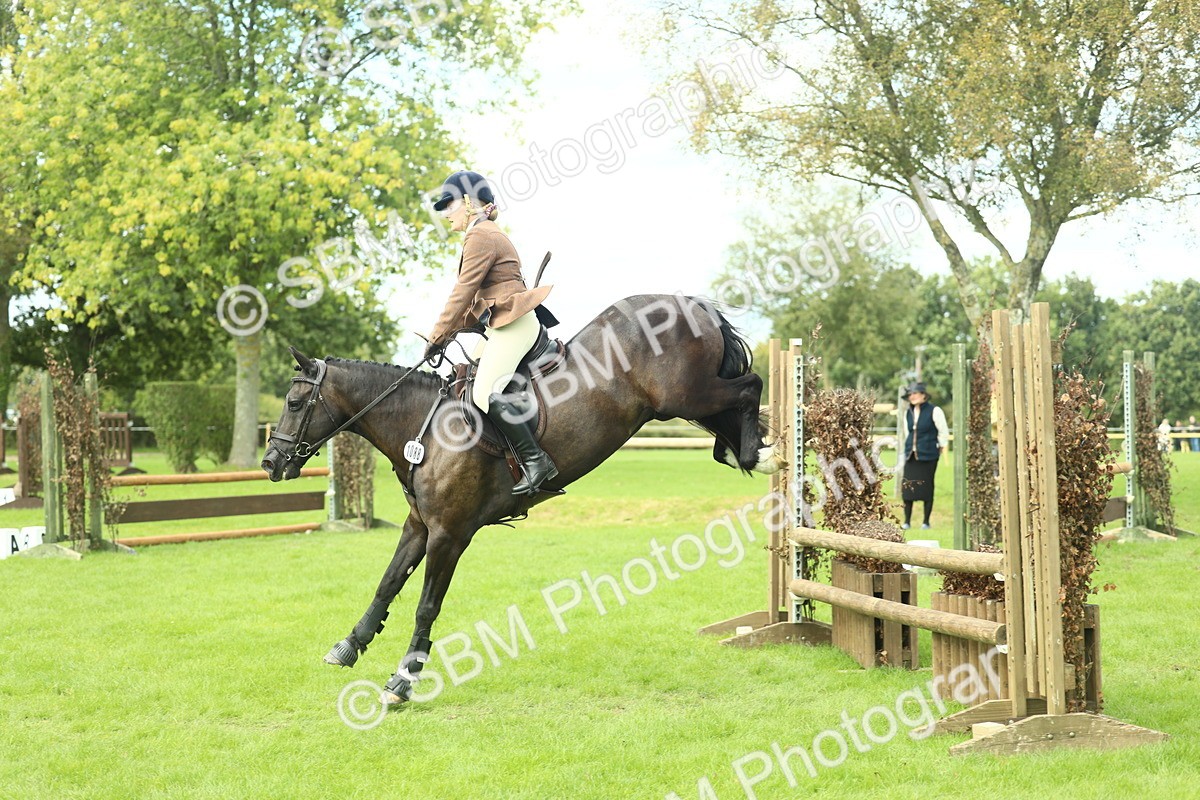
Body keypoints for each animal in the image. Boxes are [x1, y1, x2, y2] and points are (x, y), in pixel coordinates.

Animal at [261, 294, 783, 705]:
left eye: (293, 403)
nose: (270, 463)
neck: (423, 426)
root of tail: (690, 302)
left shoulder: (449, 534)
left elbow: (426, 605)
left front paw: (403, 680)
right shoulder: (419, 525)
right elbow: (387, 583)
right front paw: (350, 645)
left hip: (687, 395)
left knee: (751, 387)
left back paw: (761, 454)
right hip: (684, 402)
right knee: (730, 413)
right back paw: (744, 452)